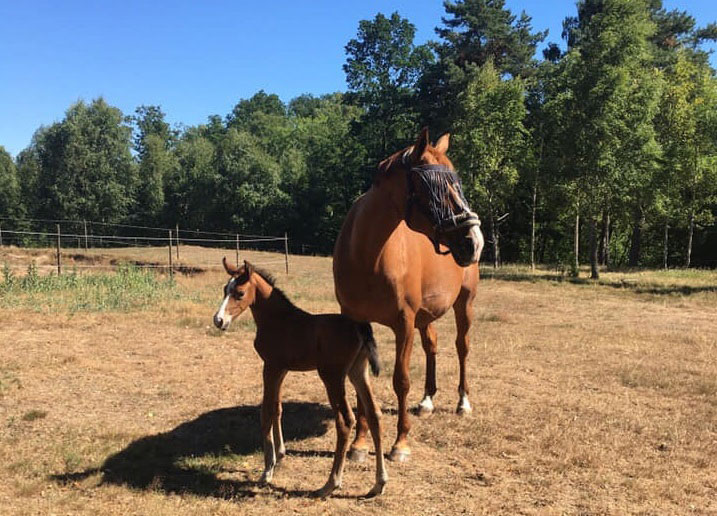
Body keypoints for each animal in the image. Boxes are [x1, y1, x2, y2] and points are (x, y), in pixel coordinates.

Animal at [213, 260, 386, 498]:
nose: (218, 320)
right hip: (358, 372)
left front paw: (267, 471)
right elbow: (277, 408)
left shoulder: (271, 366)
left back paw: (330, 484)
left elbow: (266, 411)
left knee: (345, 420)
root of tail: (359, 325)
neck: (279, 320)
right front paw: (280, 455)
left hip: (332, 376)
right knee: (375, 414)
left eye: (239, 293)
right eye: (224, 289)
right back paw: (379, 484)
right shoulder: (282, 369)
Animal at [334, 127, 482, 462]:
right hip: (426, 315)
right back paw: (427, 400)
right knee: (432, 346)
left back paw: (463, 403)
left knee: (463, 347)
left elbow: (400, 380)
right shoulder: (357, 322)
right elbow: (359, 380)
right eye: (435, 188)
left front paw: (400, 443)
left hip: (464, 303)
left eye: (457, 184)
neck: (367, 255)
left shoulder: (404, 322)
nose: (475, 241)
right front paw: (359, 444)